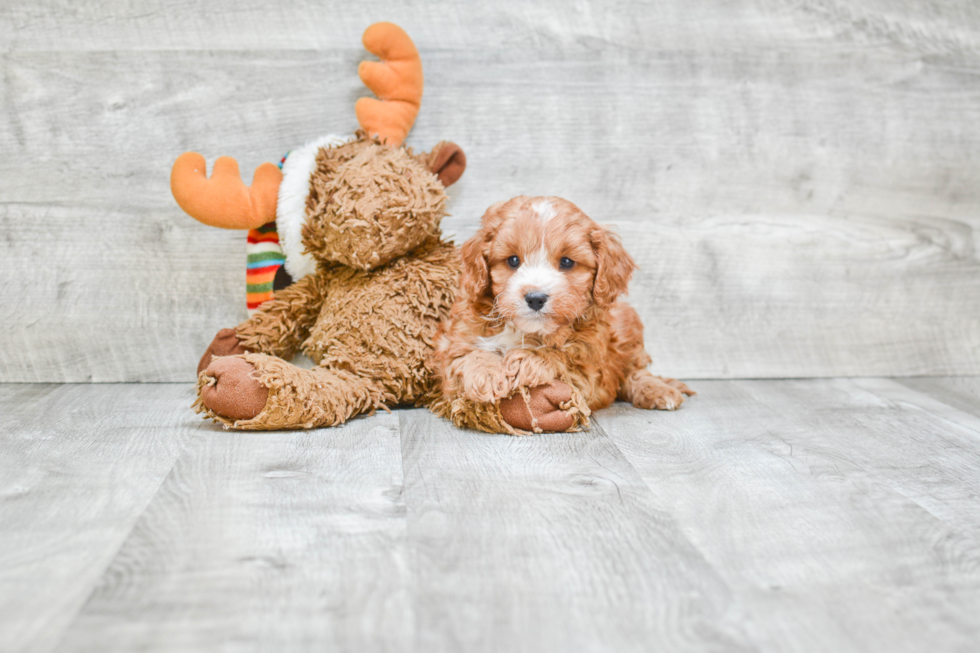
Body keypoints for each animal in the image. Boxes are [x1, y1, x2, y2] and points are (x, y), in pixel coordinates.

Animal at [432, 196, 692, 436]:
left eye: (567, 262)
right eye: (513, 260)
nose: (535, 298)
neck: (525, 331)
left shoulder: (588, 371)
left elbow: (561, 357)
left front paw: (526, 360)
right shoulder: (455, 341)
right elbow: (465, 356)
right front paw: (487, 374)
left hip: (627, 324)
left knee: (634, 372)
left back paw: (657, 390)